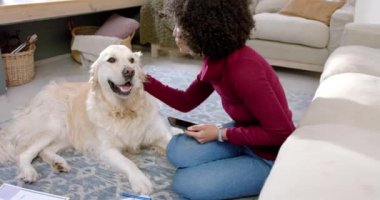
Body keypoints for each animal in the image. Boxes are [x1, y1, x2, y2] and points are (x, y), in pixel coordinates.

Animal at [0, 44, 171, 195]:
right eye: (111, 60)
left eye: (132, 60)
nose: (130, 72)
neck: (124, 110)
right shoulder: (107, 149)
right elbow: (129, 163)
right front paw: (141, 181)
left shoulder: (161, 134)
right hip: (53, 127)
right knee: (23, 154)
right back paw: (29, 172)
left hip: (67, 136)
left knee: (44, 150)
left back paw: (58, 163)